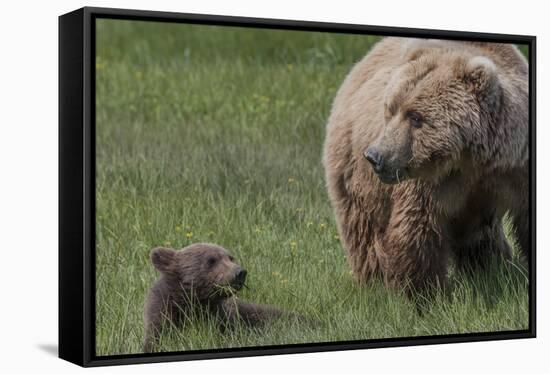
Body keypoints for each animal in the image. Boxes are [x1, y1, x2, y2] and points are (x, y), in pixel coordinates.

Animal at [324, 37, 532, 296]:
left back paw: (491, 267)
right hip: (354, 173)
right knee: (364, 230)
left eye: (415, 117)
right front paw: (424, 293)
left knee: (481, 235)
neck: (472, 159)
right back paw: (375, 283)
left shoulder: (516, 167)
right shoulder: (427, 184)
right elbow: (417, 228)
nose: (375, 156)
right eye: (391, 109)